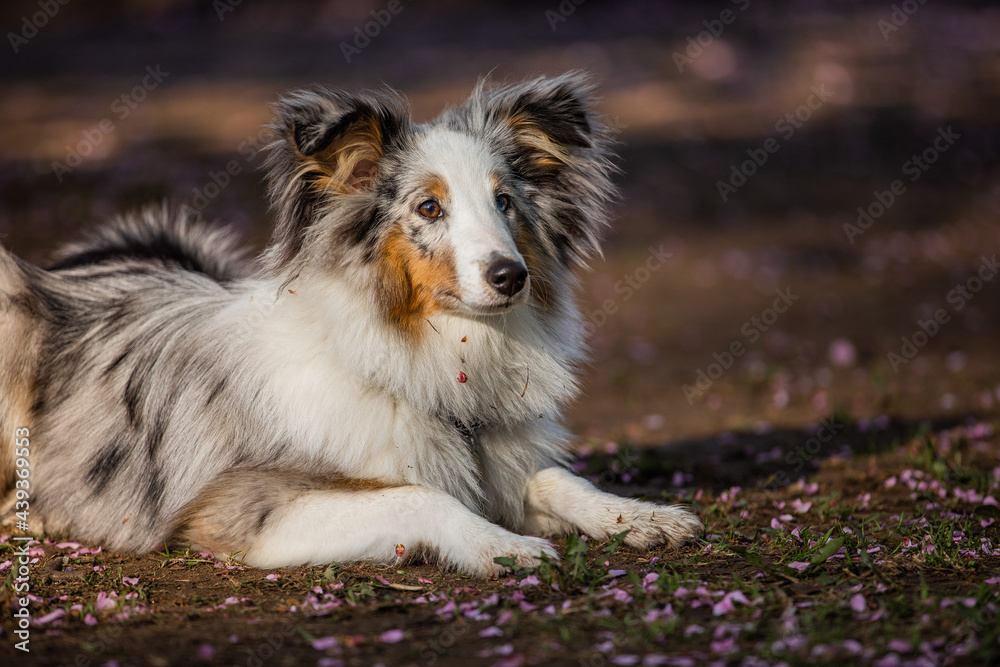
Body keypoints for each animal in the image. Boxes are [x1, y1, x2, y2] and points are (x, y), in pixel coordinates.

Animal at [0, 72, 704, 576]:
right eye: (429, 207)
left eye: (505, 201)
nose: (512, 276)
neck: (425, 358)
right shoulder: (239, 509)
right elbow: (421, 495)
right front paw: (503, 546)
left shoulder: (496, 461)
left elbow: (556, 475)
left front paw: (642, 515)